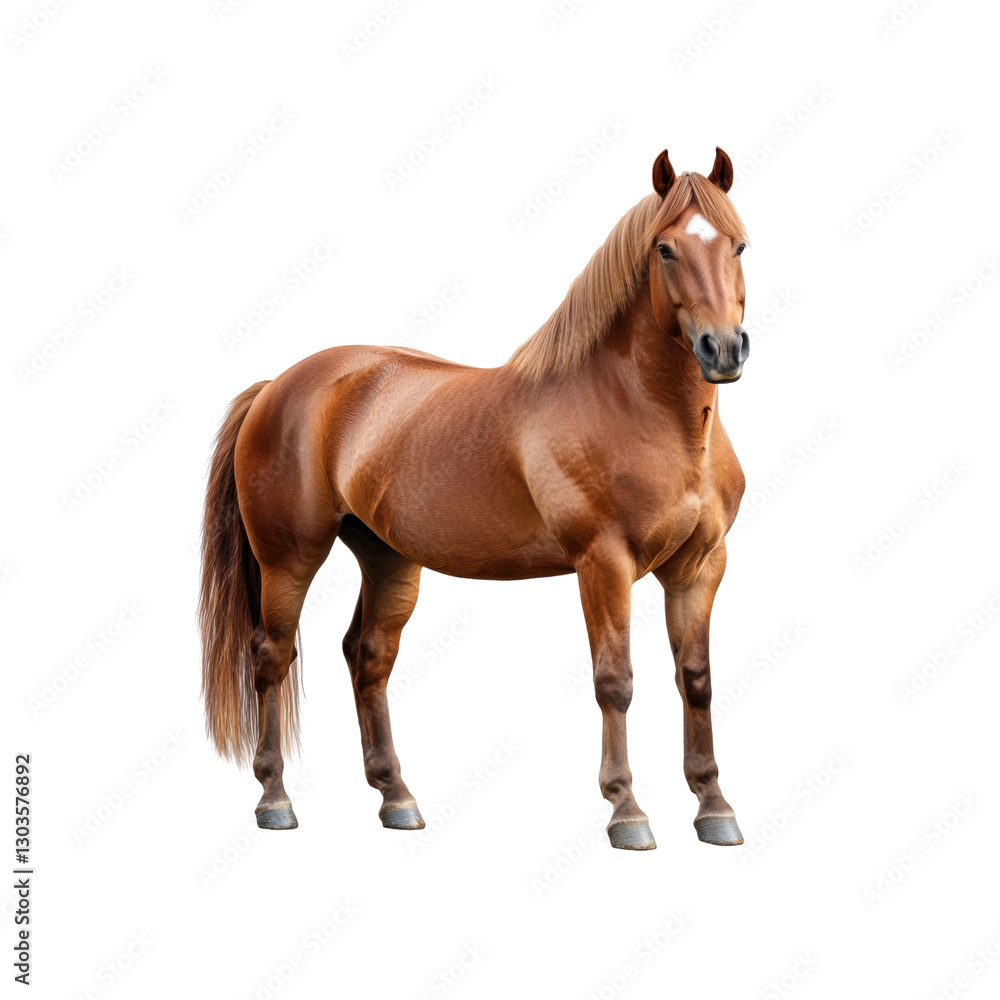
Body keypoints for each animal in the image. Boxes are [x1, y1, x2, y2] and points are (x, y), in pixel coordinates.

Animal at [200, 147, 751, 850]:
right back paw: (276, 799)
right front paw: (627, 812)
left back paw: (397, 799)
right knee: (272, 655)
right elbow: (615, 681)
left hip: (388, 558)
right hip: (288, 558)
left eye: (739, 245)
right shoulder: (604, 563)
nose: (723, 349)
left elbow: (697, 680)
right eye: (664, 248)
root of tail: (278, 385)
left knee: (367, 656)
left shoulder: (700, 566)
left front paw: (714, 807)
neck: (651, 415)